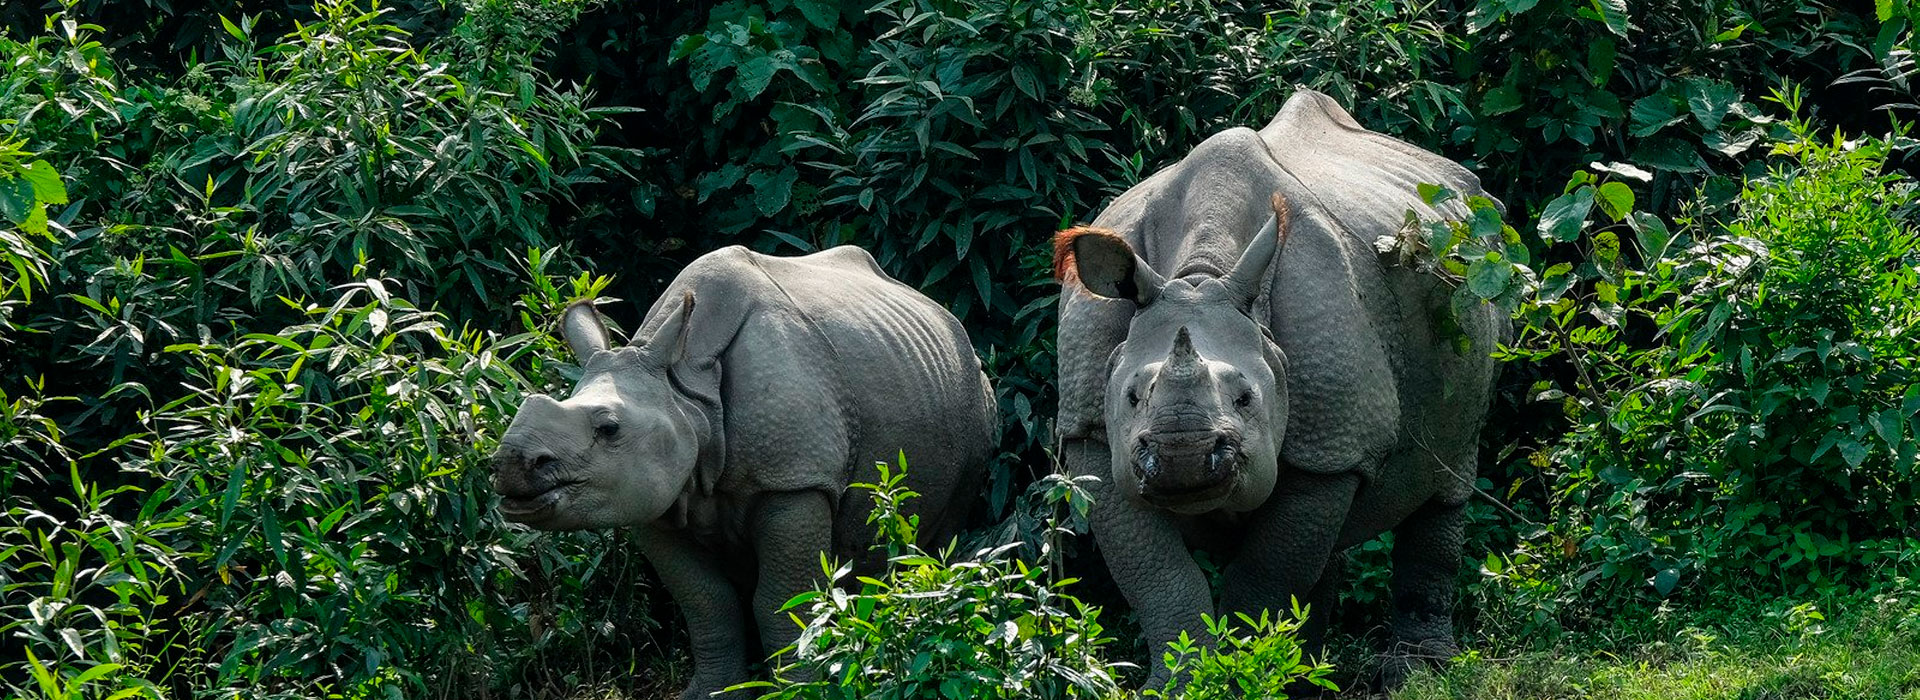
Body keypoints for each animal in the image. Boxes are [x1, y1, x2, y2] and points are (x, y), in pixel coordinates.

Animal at [489, 245, 996, 699]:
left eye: (609, 429)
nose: (510, 464)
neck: (687, 392)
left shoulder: (795, 479)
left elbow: (781, 600)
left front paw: (797, 691)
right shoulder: (654, 498)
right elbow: (705, 601)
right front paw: (713, 694)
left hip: (974, 394)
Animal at [1053, 89, 1505, 688]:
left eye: (1246, 399)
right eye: (1131, 396)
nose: (1182, 455)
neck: (1200, 274)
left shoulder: (1330, 445)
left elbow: (1266, 574)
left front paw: (1249, 672)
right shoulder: (1091, 432)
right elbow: (1156, 574)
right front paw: (1181, 683)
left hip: (1478, 276)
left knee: (1449, 477)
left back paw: (1416, 673)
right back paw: (1315, 673)